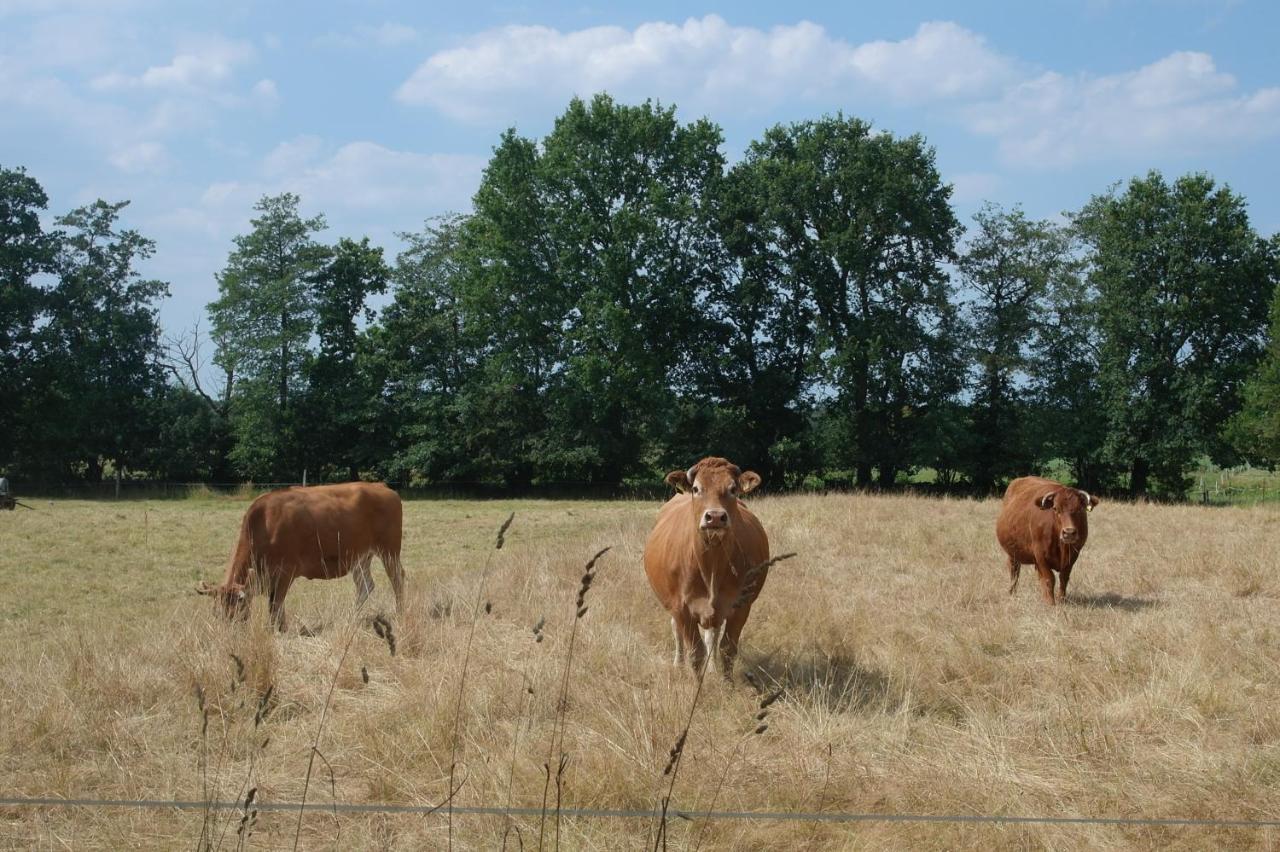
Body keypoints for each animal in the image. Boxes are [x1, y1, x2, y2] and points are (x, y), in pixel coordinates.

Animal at [198, 481, 404, 626]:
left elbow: (275, 606)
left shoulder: (285, 573)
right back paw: (351, 617)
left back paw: (400, 611)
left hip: (389, 550)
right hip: (360, 556)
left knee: (397, 578)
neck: (264, 524)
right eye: (217, 614)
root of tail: (381, 486)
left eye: (236, 613)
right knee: (365, 586)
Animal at [640, 455, 768, 680]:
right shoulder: (681, 608)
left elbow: (727, 649)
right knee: (677, 631)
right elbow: (695, 652)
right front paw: (697, 684)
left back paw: (713, 667)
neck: (712, 568)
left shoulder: (742, 606)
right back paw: (678, 663)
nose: (715, 516)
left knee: (712, 636)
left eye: (733, 489)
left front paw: (726, 683)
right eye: (696, 488)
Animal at [993, 470, 1105, 603]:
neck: (1061, 546)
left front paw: (1061, 600)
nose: (1069, 532)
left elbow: (1064, 577)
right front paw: (1050, 603)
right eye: (1055, 508)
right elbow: (1049, 579)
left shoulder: (1073, 554)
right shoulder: (1040, 554)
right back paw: (1012, 593)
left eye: (1079, 509)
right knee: (1014, 572)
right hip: (1012, 553)